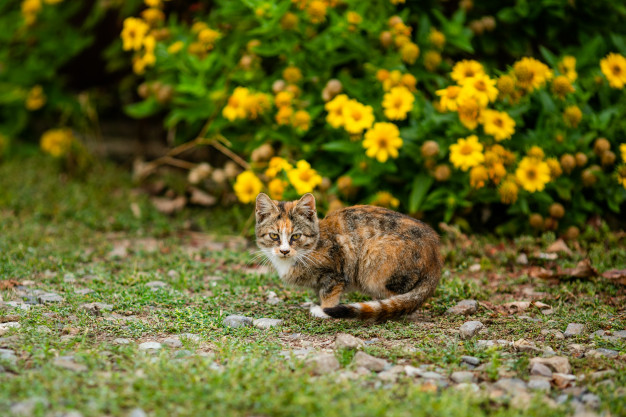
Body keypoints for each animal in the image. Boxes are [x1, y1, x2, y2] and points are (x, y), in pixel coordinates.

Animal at [252, 192, 438, 318]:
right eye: (274, 236)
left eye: (296, 236)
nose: (284, 251)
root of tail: (434, 256)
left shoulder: (335, 270)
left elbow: (329, 291)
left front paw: (325, 310)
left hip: (375, 256)